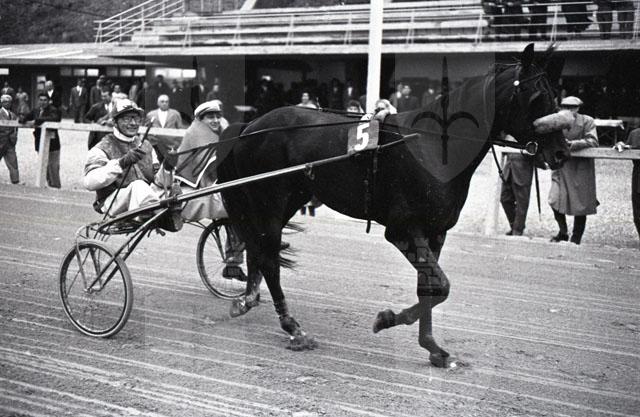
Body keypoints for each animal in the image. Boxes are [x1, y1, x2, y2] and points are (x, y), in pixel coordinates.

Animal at [216, 44, 571, 367]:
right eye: (536, 98)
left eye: (556, 95)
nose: (561, 153)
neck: (433, 148)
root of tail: (249, 126)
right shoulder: (403, 229)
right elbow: (441, 286)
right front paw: (386, 319)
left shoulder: (435, 232)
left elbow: (429, 288)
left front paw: (434, 348)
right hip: (270, 200)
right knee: (269, 258)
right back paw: (293, 328)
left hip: (290, 198)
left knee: (260, 250)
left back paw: (248, 300)